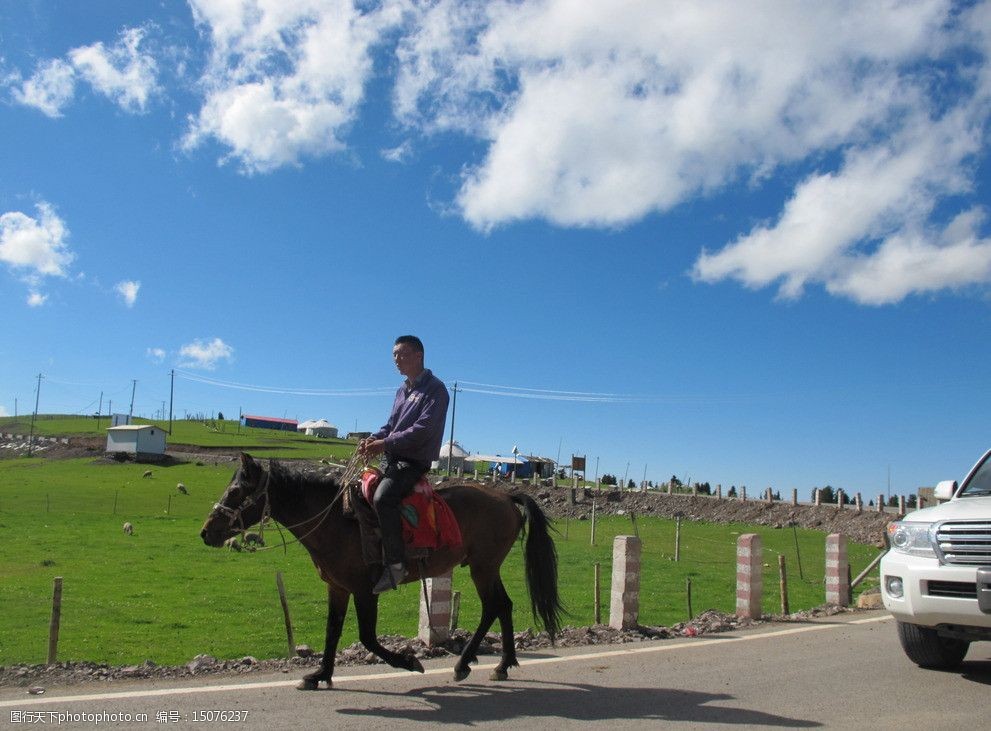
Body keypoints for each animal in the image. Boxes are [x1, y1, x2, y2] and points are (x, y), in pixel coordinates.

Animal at [200, 454, 564, 688]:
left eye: (236, 491)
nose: (206, 532)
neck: (337, 520)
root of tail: (506, 496)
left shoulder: (365, 590)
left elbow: (368, 638)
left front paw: (409, 662)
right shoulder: (338, 587)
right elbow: (332, 631)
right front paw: (320, 675)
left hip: (482, 567)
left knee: (493, 606)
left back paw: (467, 664)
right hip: (486, 567)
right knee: (503, 605)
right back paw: (502, 665)